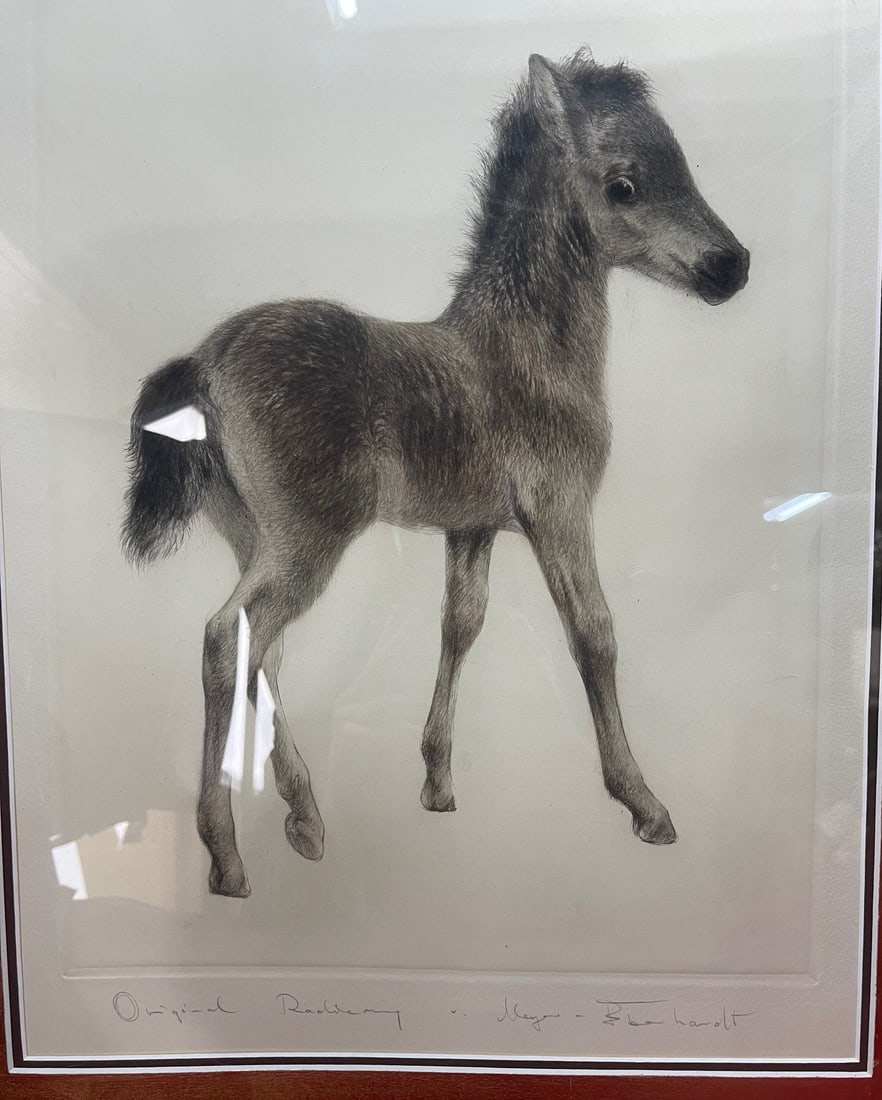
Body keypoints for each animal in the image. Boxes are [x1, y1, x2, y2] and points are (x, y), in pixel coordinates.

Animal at [122, 51, 749, 897]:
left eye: (684, 164)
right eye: (624, 184)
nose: (732, 265)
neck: (523, 351)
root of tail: (204, 362)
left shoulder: (472, 527)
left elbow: (460, 625)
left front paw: (436, 780)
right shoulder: (560, 508)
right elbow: (595, 633)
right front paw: (643, 802)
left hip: (252, 534)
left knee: (265, 650)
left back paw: (305, 817)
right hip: (307, 540)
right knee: (228, 640)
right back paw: (225, 855)